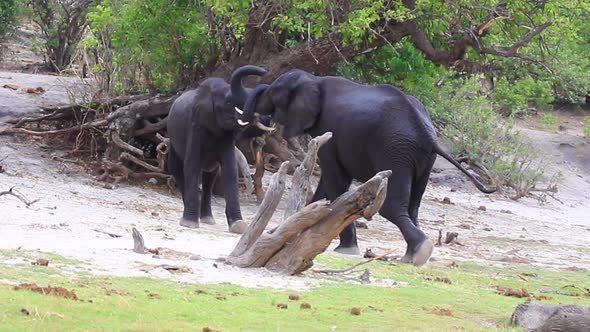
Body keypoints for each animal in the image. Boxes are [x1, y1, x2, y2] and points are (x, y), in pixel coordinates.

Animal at [166, 65, 272, 233]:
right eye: (228, 103)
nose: (264, 71)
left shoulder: (226, 136)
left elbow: (230, 169)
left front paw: (239, 226)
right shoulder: (195, 126)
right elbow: (192, 165)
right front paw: (189, 224)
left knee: (210, 176)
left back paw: (207, 219)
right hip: (172, 137)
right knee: (177, 169)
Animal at [243, 68, 498, 266]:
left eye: (273, 95)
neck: (314, 80)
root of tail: (428, 135)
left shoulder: (329, 131)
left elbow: (336, 181)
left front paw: (346, 250)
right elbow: (328, 184)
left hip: (394, 150)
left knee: (392, 206)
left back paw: (420, 252)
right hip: (422, 159)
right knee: (413, 206)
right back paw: (413, 255)